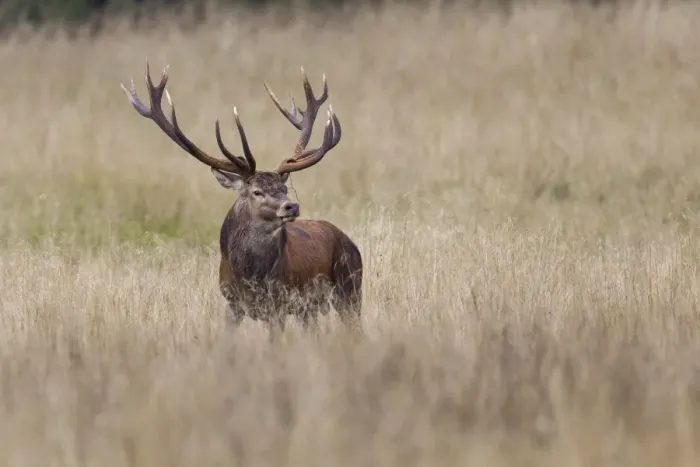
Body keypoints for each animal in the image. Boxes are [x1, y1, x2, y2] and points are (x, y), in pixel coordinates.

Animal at [120, 62, 363, 340]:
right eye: (256, 191)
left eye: (284, 187)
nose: (292, 206)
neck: (249, 277)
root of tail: (349, 241)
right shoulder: (232, 302)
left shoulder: (278, 302)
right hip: (310, 307)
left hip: (350, 287)